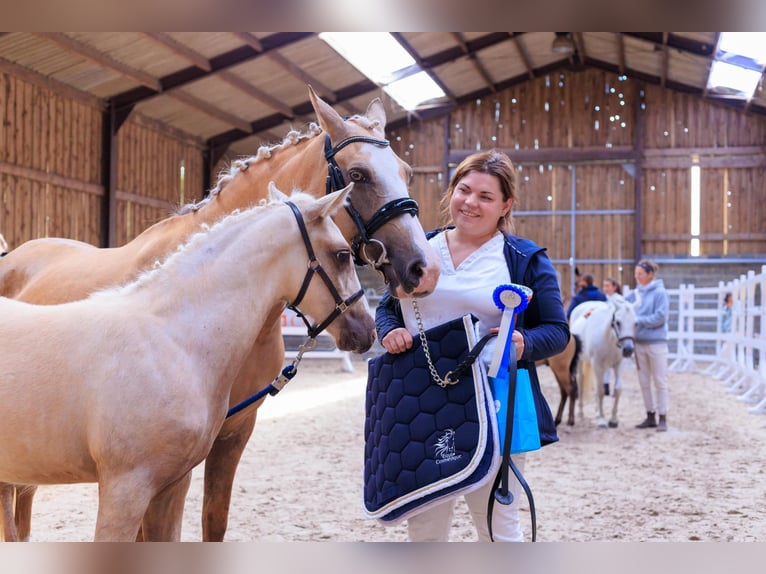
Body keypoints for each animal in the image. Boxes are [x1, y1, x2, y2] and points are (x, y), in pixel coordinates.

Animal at [572, 300, 640, 430]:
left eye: (636, 323)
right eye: (618, 322)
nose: (628, 350)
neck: (609, 339)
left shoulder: (618, 365)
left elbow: (617, 389)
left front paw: (613, 420)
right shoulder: (597, 365)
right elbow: (601, 391)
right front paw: (602, 420)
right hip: (581, 361)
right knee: (581, 381)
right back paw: (581, 413)